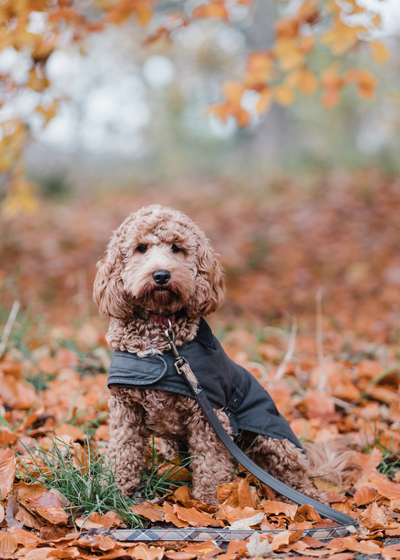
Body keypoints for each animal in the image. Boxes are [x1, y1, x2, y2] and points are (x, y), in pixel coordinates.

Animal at [94, 206, 354, 508]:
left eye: (177, 248)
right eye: (141, 248)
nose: (161, 275)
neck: (162, 332)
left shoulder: (209, 415)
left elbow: (211, 461)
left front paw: (209, 502)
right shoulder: (125, 410)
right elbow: (122, 451)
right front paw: (114, 492)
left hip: (272, 439)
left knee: (295, 475)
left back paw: (307, 499)